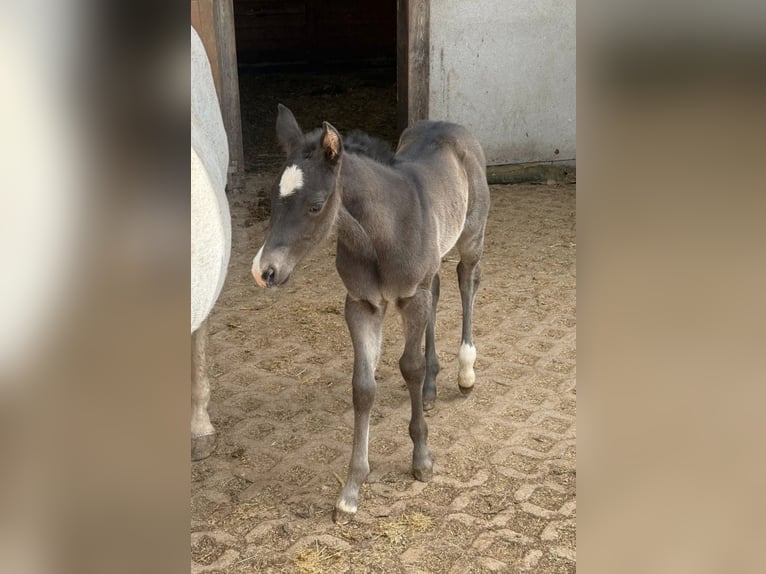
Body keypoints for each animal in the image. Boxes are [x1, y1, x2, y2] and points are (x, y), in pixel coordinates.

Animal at [251, 105, 490, 522]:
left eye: (316, 204)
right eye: (274, 200)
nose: (265, 271)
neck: (383, 232)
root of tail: (450, 125)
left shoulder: (410, 297)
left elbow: (409, 367)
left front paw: (422, 460)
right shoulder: (362, 305)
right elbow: (363, 388)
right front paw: (351, 489)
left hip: (471, 237)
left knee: (466, 282)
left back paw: (465, 372)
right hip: (432, 264)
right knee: (438, 290)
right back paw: (432, 388)